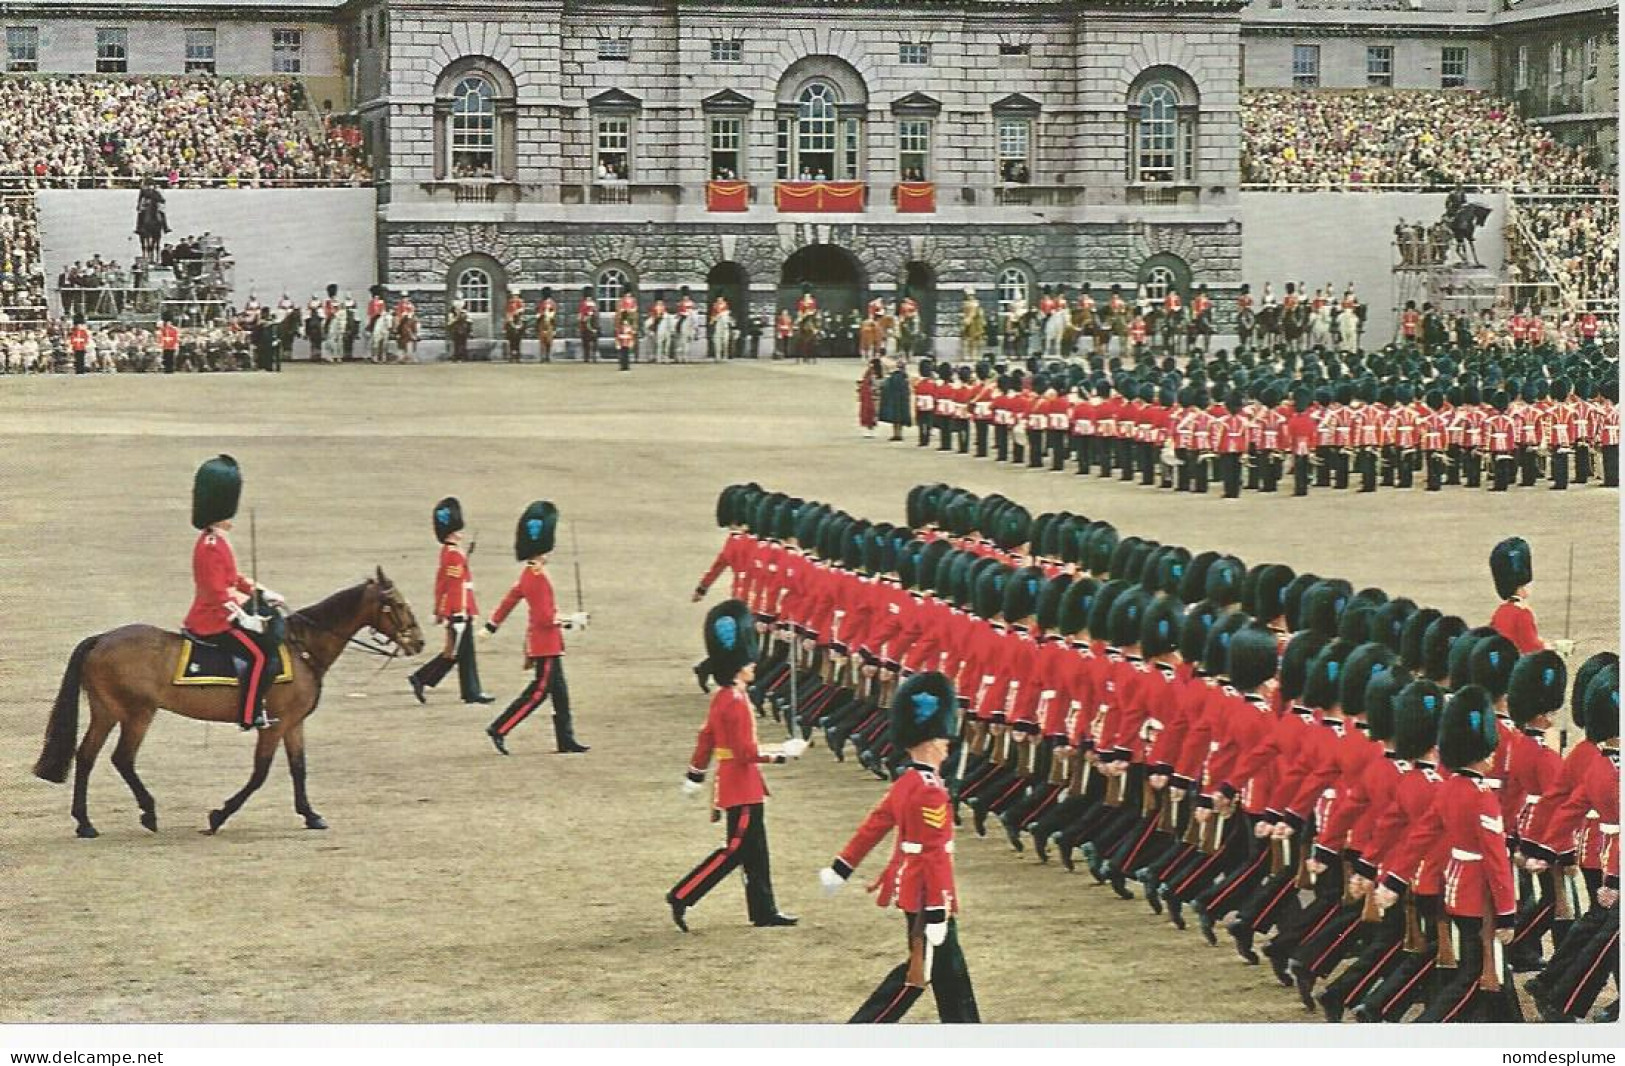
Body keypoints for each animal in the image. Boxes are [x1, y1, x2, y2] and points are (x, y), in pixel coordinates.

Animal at [34, 572, 425, 838]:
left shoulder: (293, 724)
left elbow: (298, 768)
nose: (419, 642)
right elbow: (260, 774)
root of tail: (102, 638)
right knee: (121, 759)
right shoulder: (275, 724)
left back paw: (85, 822)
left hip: (107, 711)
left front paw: (310, 814)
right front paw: (219, 815)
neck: (302, 646)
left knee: (86, 756)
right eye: (398, 604)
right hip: (137, 713)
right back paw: (147, 812)